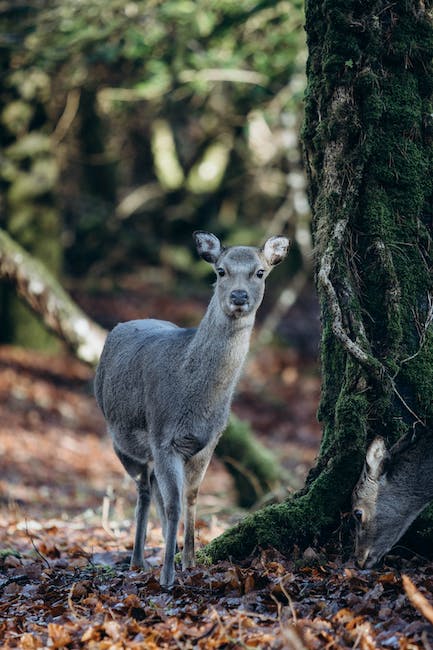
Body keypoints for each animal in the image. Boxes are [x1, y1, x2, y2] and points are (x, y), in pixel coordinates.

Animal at [95, 230, 290, 584]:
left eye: (260, 272)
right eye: (221, 271)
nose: (239, 296)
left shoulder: (208, 441)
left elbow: (191, 496)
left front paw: (189, 561)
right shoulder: (163, 435)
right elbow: (173, 504)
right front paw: (168, 576)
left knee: (154, 487)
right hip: (120, 439)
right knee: (143, 489)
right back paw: (138, 559)